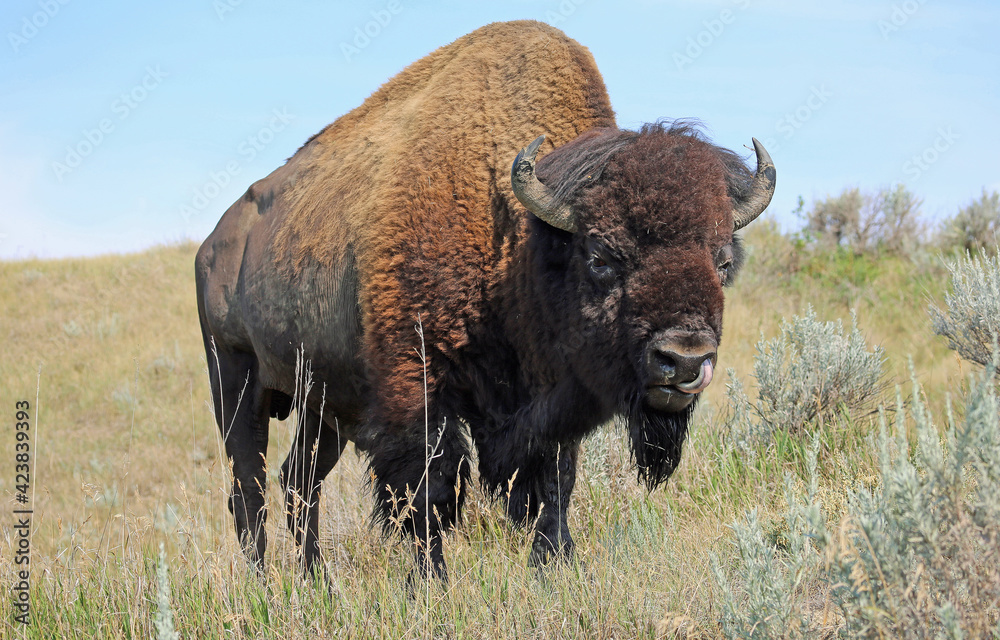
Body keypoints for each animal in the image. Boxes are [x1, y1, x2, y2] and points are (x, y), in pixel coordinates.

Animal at [195, 20, 772, 580]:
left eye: (723, 262)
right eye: (602, 255)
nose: (685, 360)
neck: (519, 242)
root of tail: (213, 243)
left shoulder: (552, 401)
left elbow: (555, 480)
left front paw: (555, 566)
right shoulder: (417, 390)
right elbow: (429, 489)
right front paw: (432, 583)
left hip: (323, 404)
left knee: (298, 483)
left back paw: (318, 582)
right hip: (235, 379)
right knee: (248, 488)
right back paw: (263, 586)